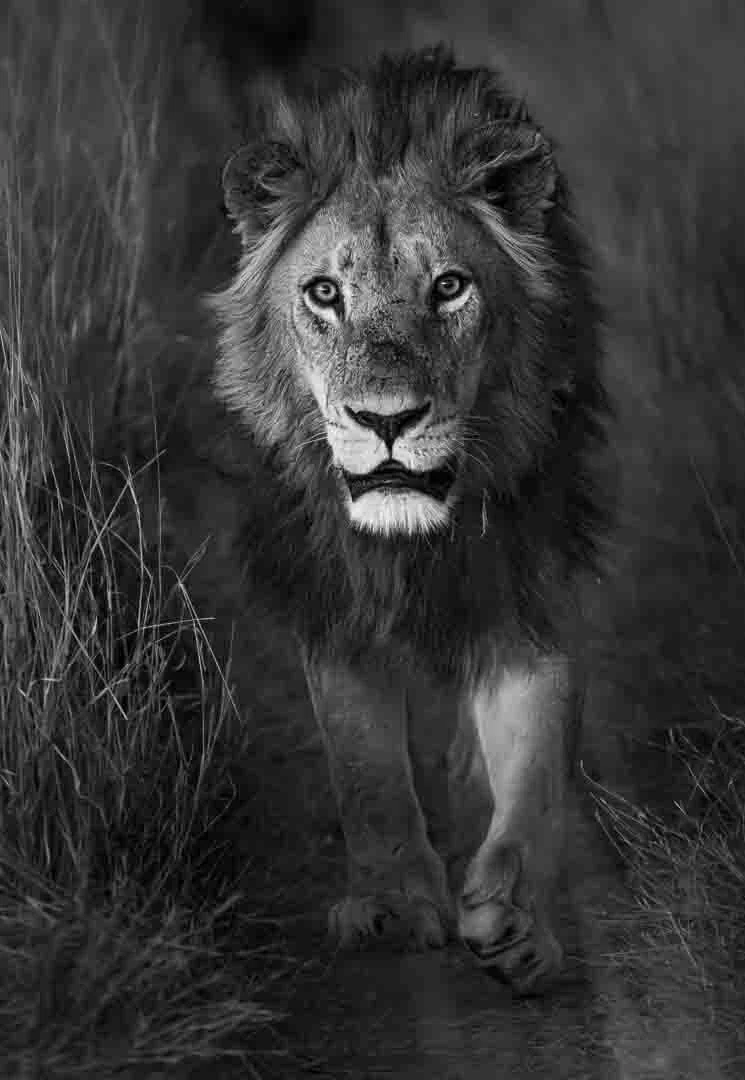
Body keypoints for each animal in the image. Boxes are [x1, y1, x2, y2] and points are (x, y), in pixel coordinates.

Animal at [127, 47, 609, 996]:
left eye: (449, 287)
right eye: (324, 294)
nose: (386, 420)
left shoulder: (523, 581)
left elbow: (535, 763)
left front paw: (516, 920)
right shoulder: (332, 594)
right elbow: (364, 762)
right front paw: (390, 903)